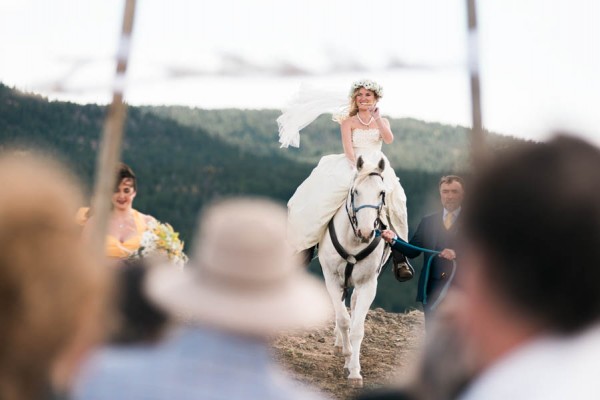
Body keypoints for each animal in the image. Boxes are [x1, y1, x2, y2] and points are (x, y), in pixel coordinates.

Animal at [318, 156, 390, 388]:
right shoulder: (331, 279)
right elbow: (343, 319)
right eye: (355, 191)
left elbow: (357, 327)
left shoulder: (368, 284)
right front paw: (347, 353)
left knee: (354, 304)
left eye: (381, 193)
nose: (367, 232)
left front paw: (355, 371)